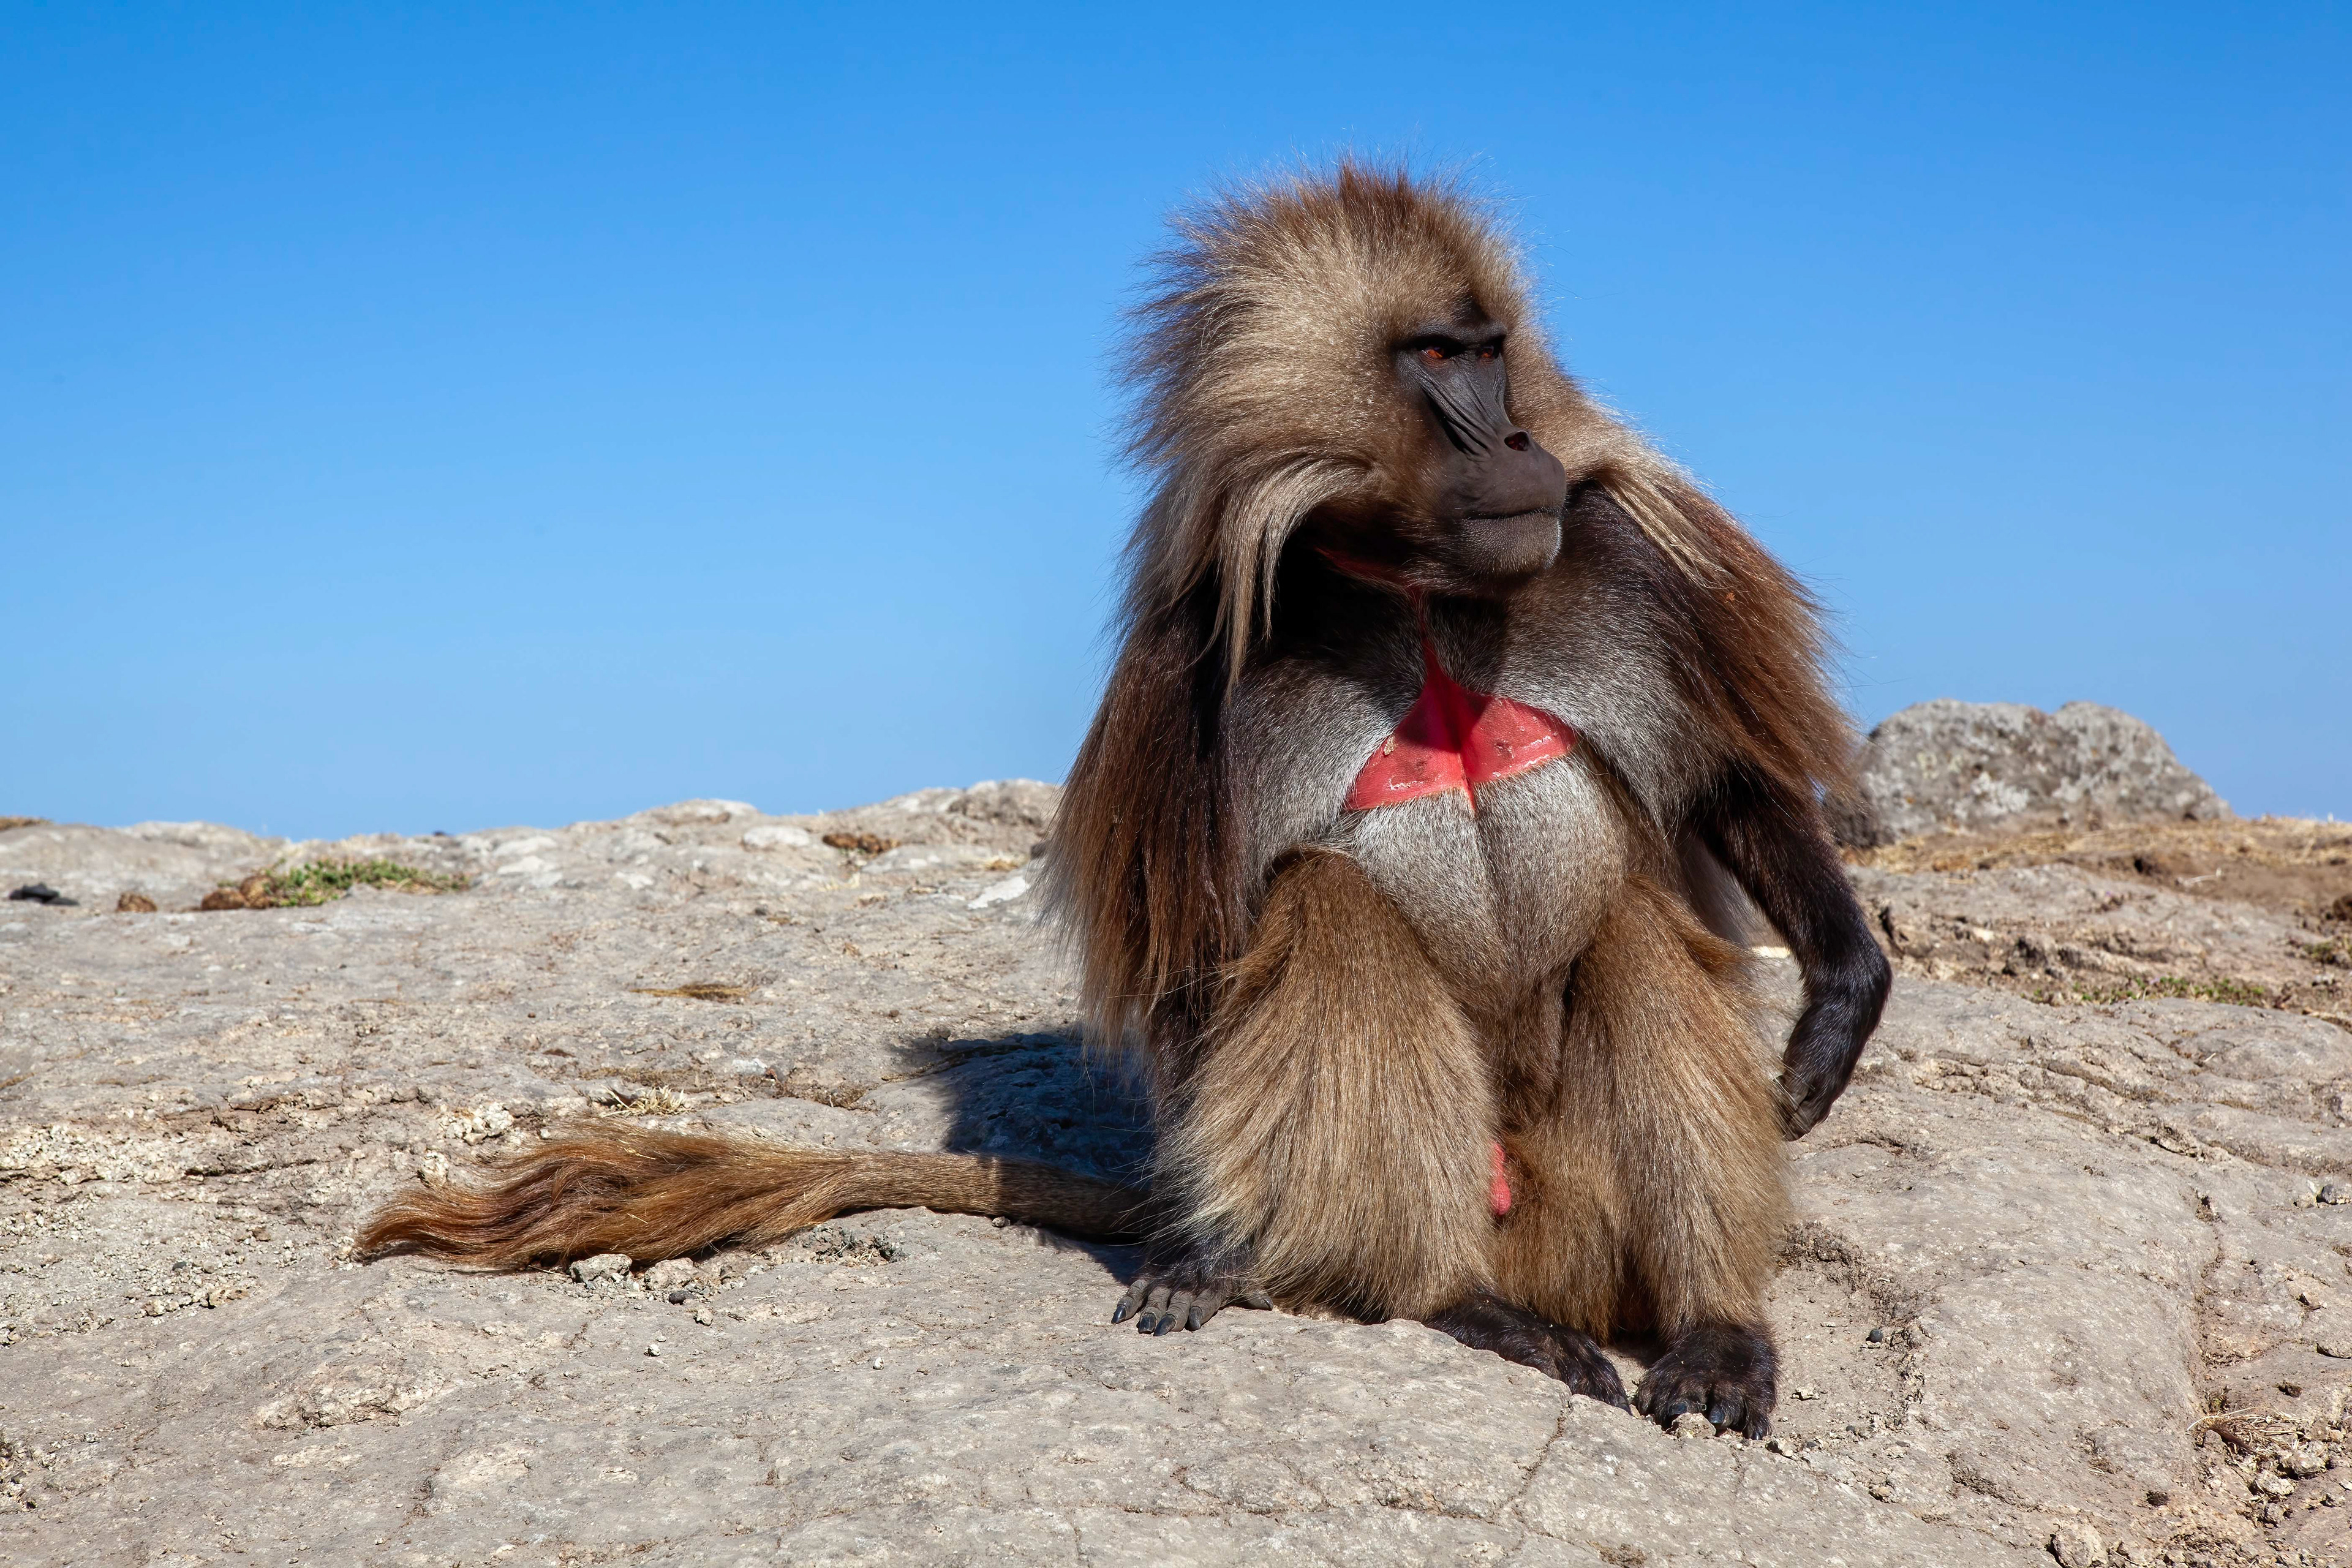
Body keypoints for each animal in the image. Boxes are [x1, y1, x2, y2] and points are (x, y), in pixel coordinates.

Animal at [357, 163, 1890, 1440]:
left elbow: (1726, 781)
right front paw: (1203, 1255)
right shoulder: (1184, 665)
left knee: (1628, 923)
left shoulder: (1624, 560)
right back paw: (1454, 1298)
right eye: (1434, 359)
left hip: (1582, 1216)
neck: (1415, 586)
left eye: (1490, 346)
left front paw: (1844, 993)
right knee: (1331, 911)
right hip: (1433, 1194)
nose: (1516, 441)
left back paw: (1712, 1333)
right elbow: (1206, 946)